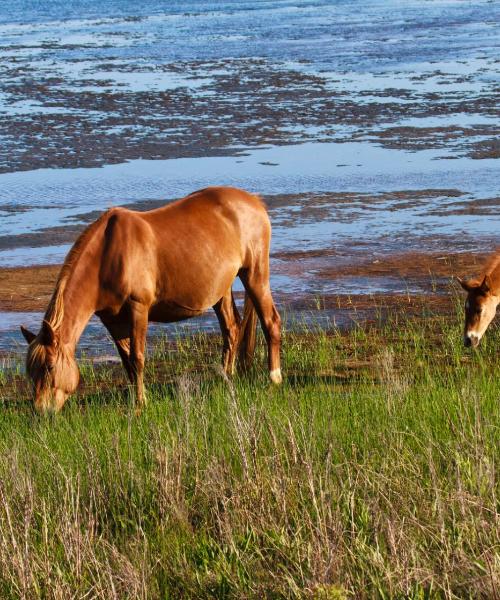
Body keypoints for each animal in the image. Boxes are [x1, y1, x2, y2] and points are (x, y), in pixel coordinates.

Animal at [20, 186, 282, 412]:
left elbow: (137, 357)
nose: (41, 412)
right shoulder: (112, 320)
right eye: (30, 371)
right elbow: (126, 361)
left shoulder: (138, 308)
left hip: (254, 274)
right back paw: (226, 378)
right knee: (231, 329)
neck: (107, 256)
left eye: (49, 366)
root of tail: (254, 201)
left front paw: (140, 404)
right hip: (221, 290)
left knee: (271, 322)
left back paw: (274, 378)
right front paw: (135, 400)